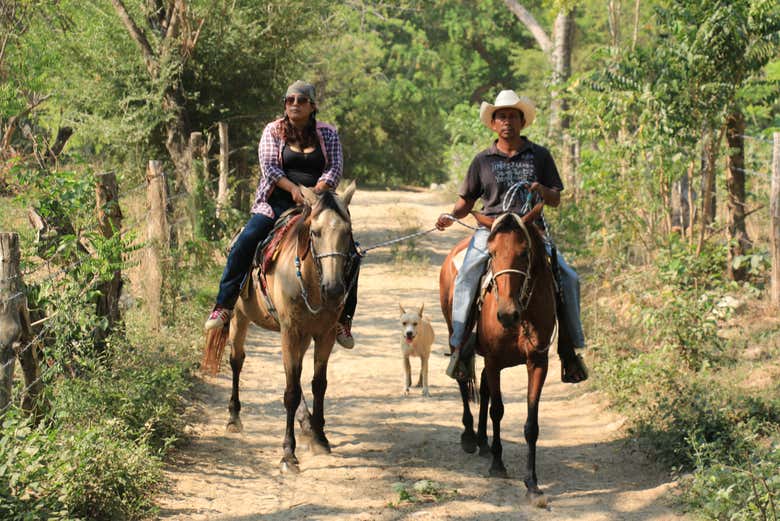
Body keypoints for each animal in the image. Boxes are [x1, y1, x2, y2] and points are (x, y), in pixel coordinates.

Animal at [203, 181, 358, 474]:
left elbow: (318, 384)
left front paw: (320, 437)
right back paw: (234, 418)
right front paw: (288, 454)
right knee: (237, 360)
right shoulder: (290, 332)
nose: (334, 289)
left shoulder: (325, 334)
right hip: (240, 317)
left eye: (347, 233)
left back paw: (307, 424)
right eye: (316, 233)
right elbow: (291, 392)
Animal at [442, 204, 556, 504]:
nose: (506, 314)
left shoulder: (538, 362)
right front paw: (497, 464)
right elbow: (497, 410)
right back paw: (470, 436)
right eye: (491, 253)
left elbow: (531, 423)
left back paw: (483, 442)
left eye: (525, 252)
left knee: (481, 385)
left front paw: (532, 483)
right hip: (456, 335)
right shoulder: (494, 361)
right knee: (464, 379)